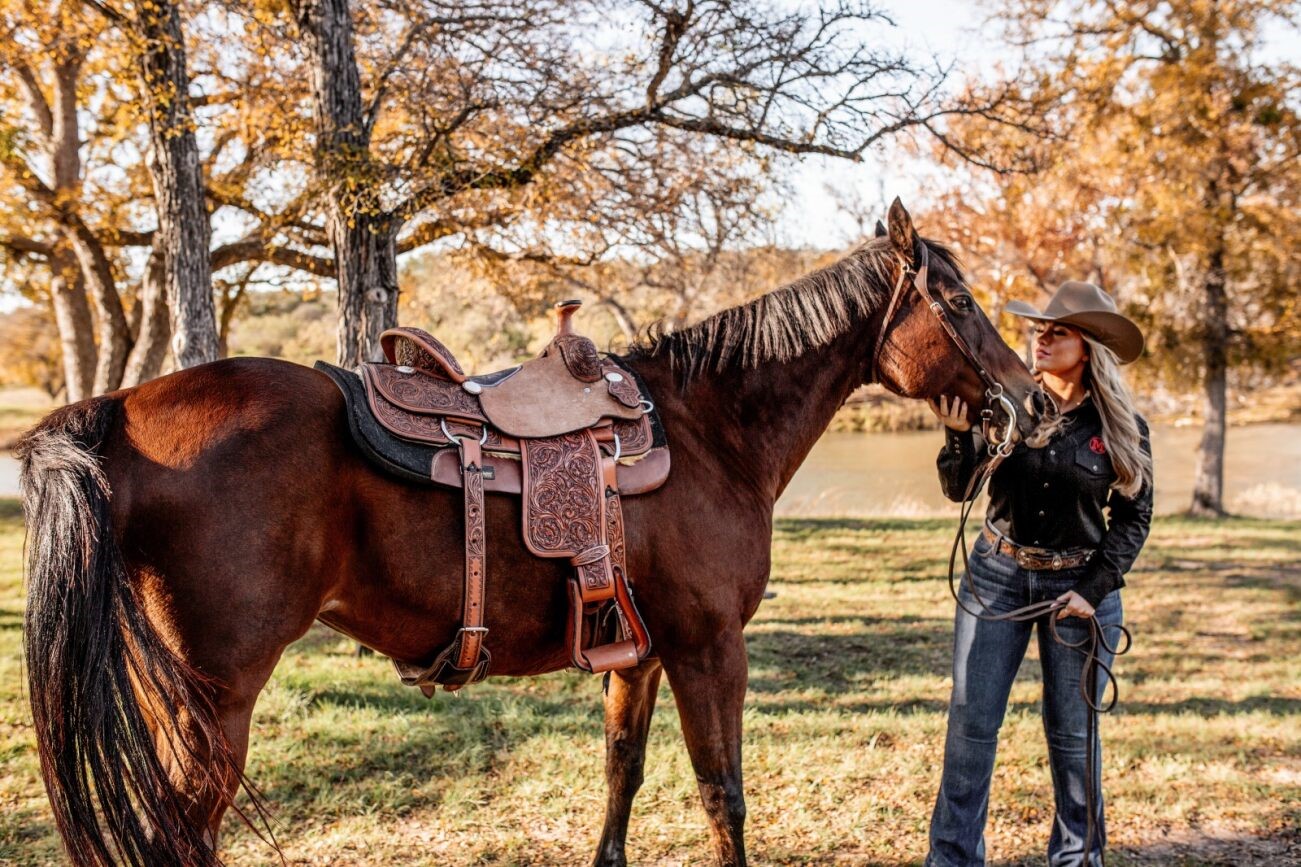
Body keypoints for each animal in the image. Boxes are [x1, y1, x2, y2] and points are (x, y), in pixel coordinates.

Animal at [20, 199, 1046, 859]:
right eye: (957, 301)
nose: (1032, 400)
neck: (709, 427)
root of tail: (119, 409)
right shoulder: (709, 646)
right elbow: (723, 794)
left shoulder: (640, 650)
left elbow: (622, 773)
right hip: (215, 700)